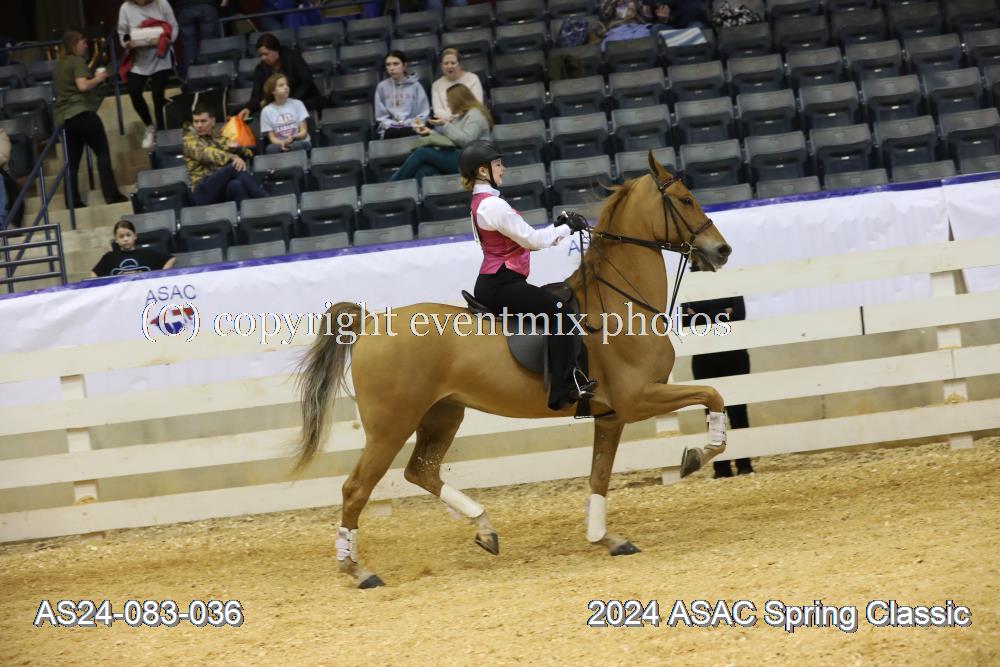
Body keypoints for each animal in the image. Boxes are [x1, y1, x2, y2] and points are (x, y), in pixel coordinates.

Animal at [296, 152, 733, 588]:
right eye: (685, 199)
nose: (722, 250)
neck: (618, 304)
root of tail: (370, 322)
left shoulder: (610, 416)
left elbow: (600, 476)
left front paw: (605, 538)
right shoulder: (637, 399)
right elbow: (714, 396)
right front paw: (697, 456)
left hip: (442, 414)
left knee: (421, 471)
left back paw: (485, 529)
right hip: (391, 426)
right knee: (356, 488)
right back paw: (358, 570)